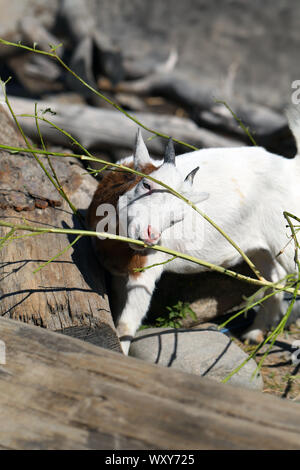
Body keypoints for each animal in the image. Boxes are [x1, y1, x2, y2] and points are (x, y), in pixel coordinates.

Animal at [89, 110, 300, 354]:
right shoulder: (117, 273)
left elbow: (126, 324)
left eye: (178, 217)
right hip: (260, 249)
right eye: (146, 185)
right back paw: (255, 333)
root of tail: (292, 167)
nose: (151, 236)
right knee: (276, 279)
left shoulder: (147, 267)